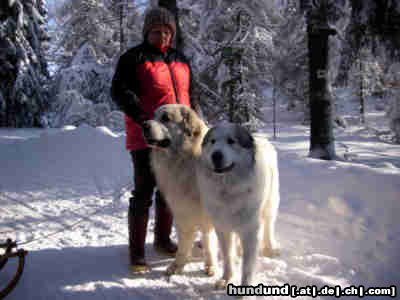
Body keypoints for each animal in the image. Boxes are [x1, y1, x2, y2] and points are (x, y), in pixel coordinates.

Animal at [141, 105, 217, 276]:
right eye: (153, 115)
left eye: (165, 118)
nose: (143, 125)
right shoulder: (182, 212)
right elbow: (183, 244)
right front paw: (178, 265)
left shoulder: (208, 216)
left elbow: (209, 242)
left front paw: (210, 266)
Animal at [197, 123, 282, 290]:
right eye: (212, 141)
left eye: (231, 141)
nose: (216, 155)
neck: (228, 189)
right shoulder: (222, 227)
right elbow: (227, 256)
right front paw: (226, 278)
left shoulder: (250, 230)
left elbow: (248, 266)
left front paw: (244, 290)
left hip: (270, 204)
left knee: (268, 226)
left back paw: (270, 247)